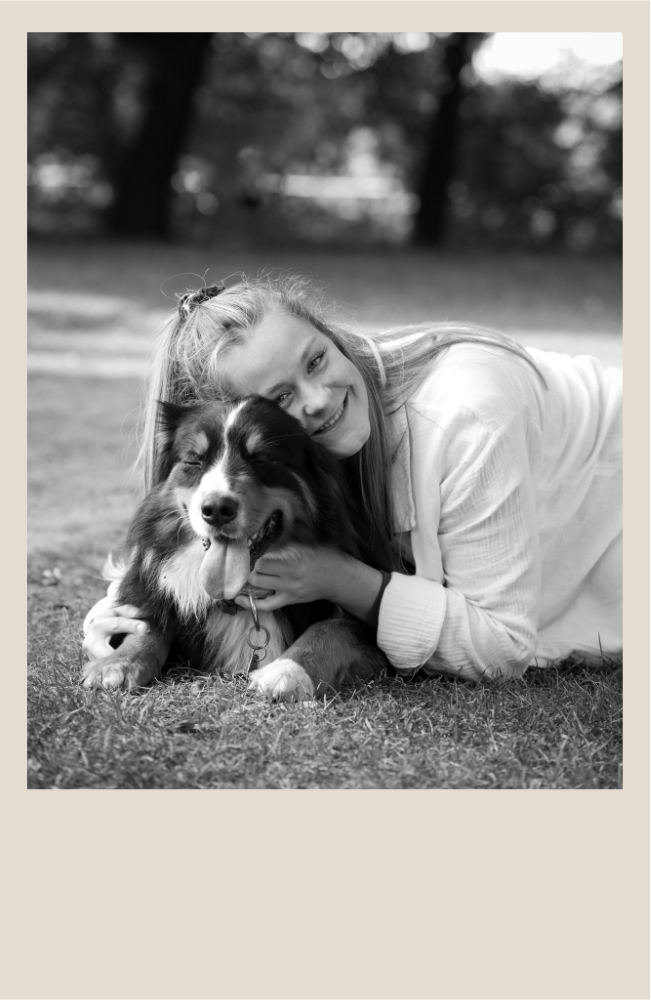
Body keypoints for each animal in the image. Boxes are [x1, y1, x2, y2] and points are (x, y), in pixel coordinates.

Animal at [80, 394, 388, 700]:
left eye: (262, 458)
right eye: (194, 461)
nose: (216, 509)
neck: (242, 594)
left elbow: (332, 629)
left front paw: (286, 671)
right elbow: (148, 624)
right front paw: (118, 662)